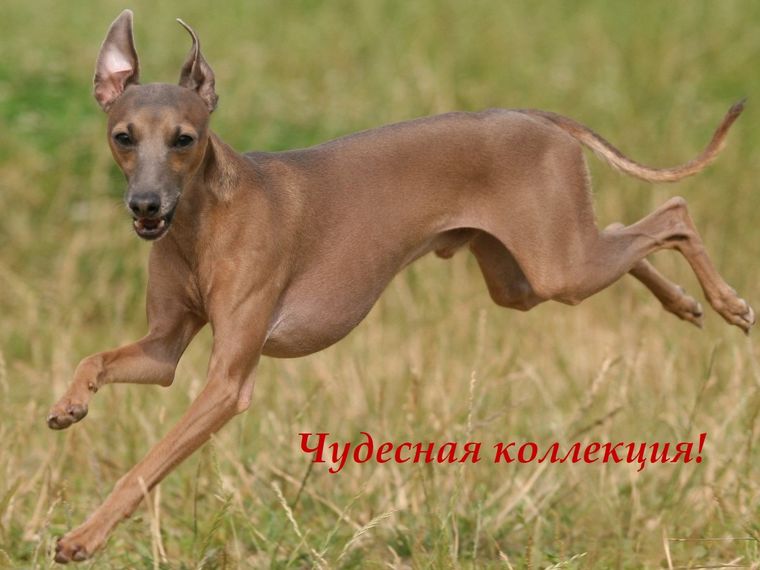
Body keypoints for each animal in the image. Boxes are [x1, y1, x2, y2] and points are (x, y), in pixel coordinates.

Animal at [48, 10, 754, 563]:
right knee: (627, 233)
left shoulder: (227, 383)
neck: (201, 223)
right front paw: (70, 405)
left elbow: (147, 467)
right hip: (528, 277)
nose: (145, 206)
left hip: (560, 266)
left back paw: (727, 303)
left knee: (675, 214)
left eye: (185, 139)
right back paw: (684, 303)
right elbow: (95, 359)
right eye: (123, 137)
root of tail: (537, 116)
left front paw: (84, 536)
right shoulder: (164, 350)